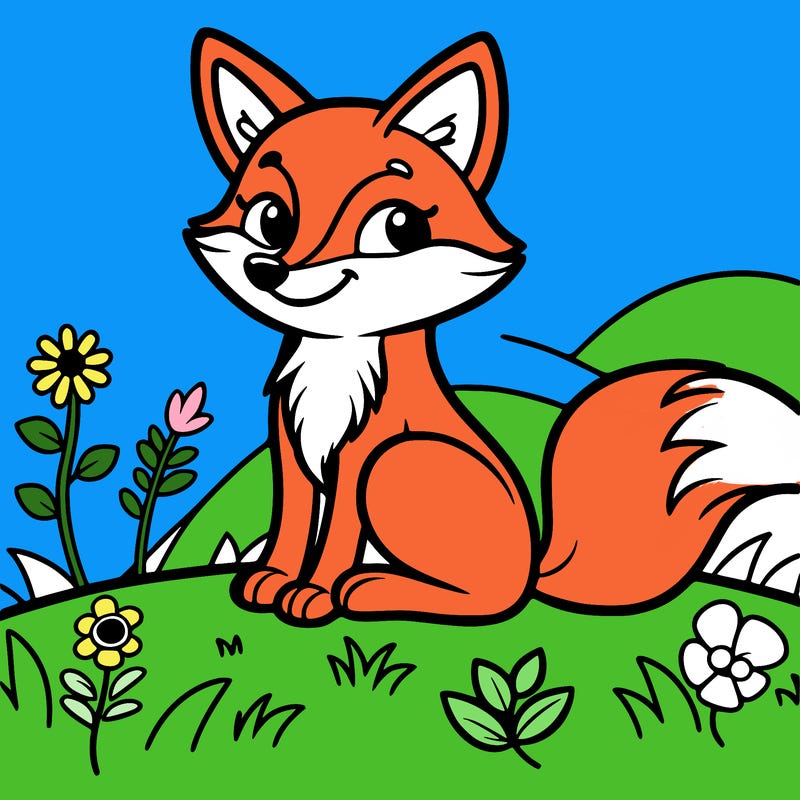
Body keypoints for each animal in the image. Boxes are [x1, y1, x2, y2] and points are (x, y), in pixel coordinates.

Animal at [185, 29, 800, 625]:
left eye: (398, 226)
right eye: (270, 218)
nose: (270, 269)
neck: (336, 360)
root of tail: (534, 567)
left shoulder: (359, 454)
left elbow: (335, 535)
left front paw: (311, 593)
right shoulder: (289, 447)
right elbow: (290, 524)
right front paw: (270, 581)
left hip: (400, 464)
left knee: (487, 600)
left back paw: (371, 590)